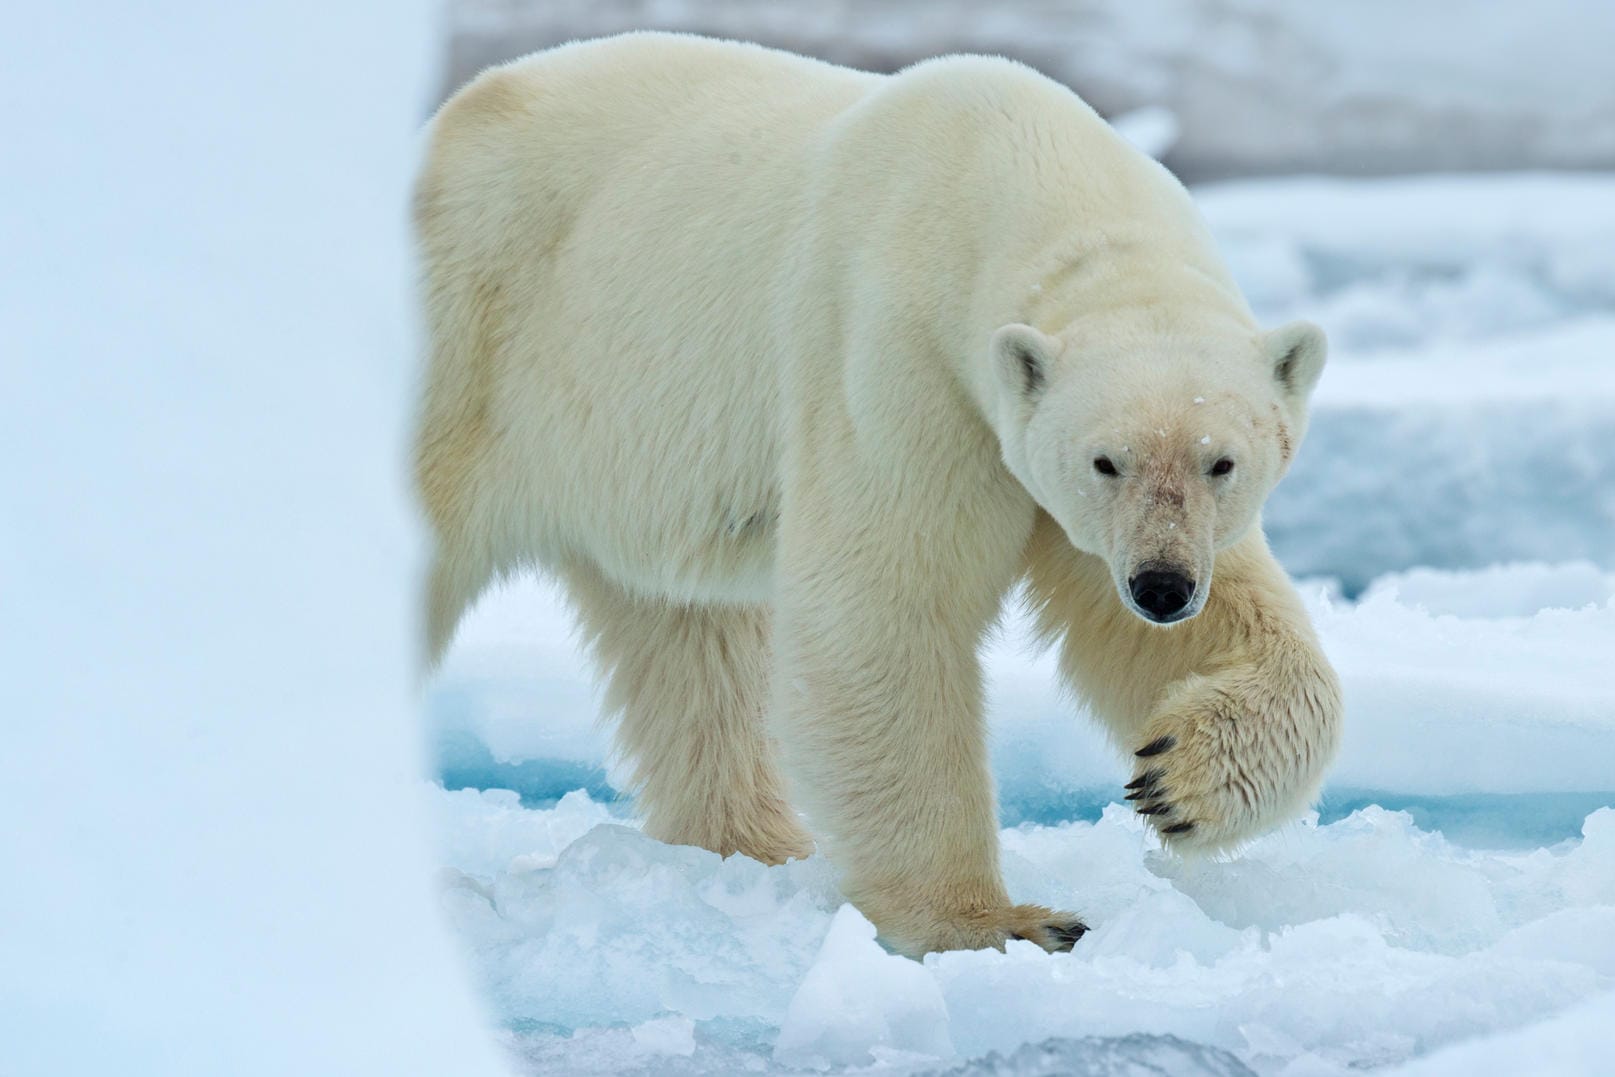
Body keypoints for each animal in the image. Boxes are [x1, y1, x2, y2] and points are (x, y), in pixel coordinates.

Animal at [413, 33, 1337, 962]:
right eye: (1104, 460)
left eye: (1220, 462)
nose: (1162, 586)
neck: (1023, 172)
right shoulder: (901, 358)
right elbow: (884, 607)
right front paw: (1001, 922)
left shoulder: (1076, 493)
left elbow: (1197, 630)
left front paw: (1174, 779)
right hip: (480, 340)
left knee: (690, 640)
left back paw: (759, 844)